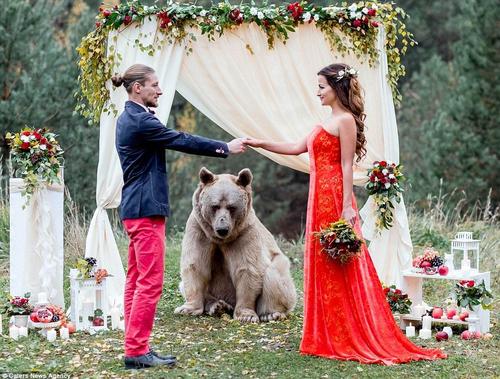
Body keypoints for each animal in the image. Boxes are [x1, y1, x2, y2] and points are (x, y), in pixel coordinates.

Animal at [175, 167, 296, 324]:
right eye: (215, 206)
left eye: (231, 207)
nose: (222, 228)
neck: (220, 239)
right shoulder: (199, 230)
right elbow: (195, 265)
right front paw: (187, 309)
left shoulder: (244, 234)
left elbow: (247, 269)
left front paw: (246, 315)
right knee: (183, 285)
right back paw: (218, 306)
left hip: (279, 266)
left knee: (275, 276)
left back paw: (270, 313)